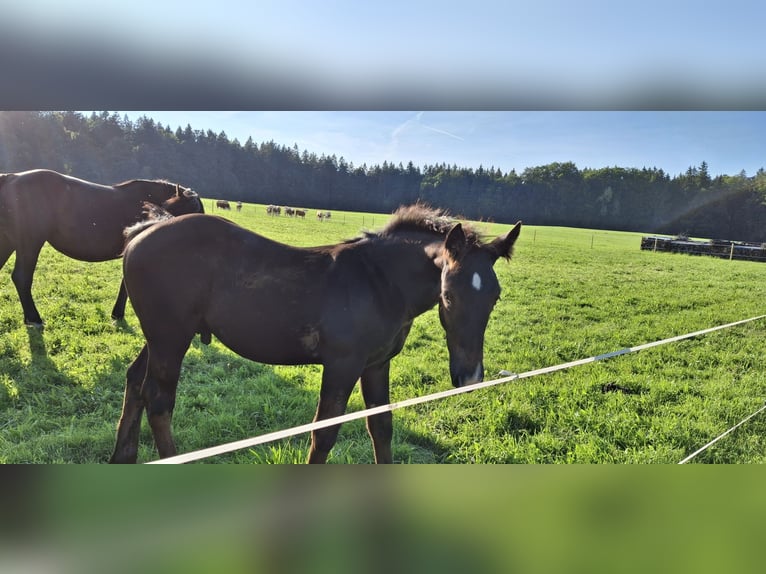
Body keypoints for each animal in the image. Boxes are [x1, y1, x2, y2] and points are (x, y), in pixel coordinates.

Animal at [109, 205, 520, 466]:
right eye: (448, 295)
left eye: (495, 296)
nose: (470, 377)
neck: (379, 281)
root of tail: (141, 231)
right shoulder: (342, 365)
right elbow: (324, 434)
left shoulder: (376, 365)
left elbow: (381, 427)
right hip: (170, 337)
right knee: (159, 400)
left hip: (160, 336)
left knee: (135, 381)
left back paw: (122, 457)